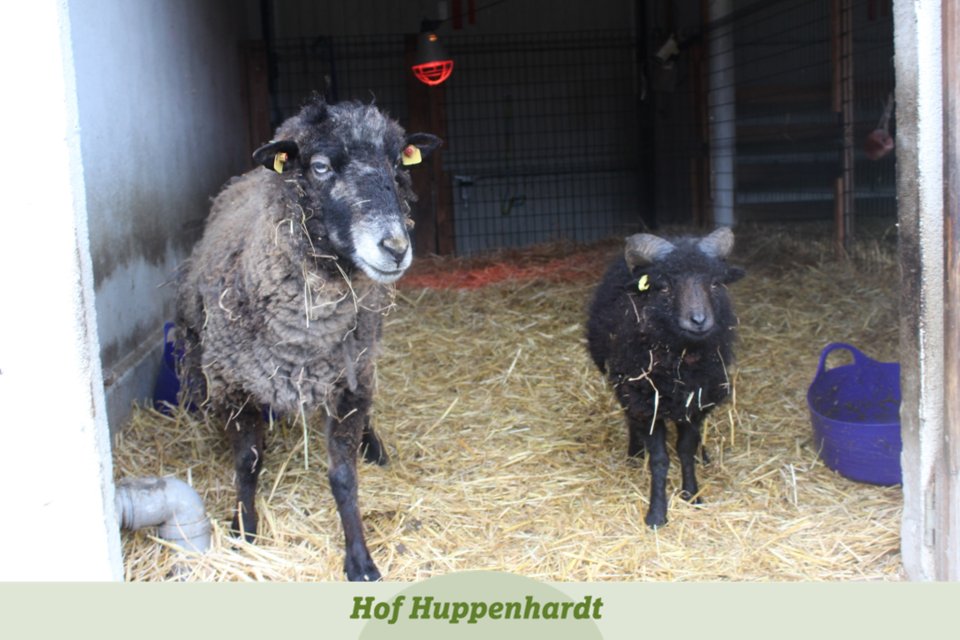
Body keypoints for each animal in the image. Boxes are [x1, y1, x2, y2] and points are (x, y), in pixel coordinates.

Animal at [176, 96, 440, 581]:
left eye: (398, 164)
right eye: (319, 166)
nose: (395, 248)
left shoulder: (348, 385)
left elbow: (343, 476)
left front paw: (360, 560)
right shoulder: (232, 386)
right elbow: (247, 464)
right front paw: (244, 529)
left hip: (363, 360)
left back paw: (373, 445)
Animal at [586, 227, 744, 528]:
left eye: (715, 283)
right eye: (665, 286)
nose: (698, 320)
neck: (682, 362)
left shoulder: (695, 401)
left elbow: (685, 450)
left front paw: (692, 495)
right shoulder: (648, 403)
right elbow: (659, 460)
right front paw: (657, 513)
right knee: (629, 417)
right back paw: (635, 452)